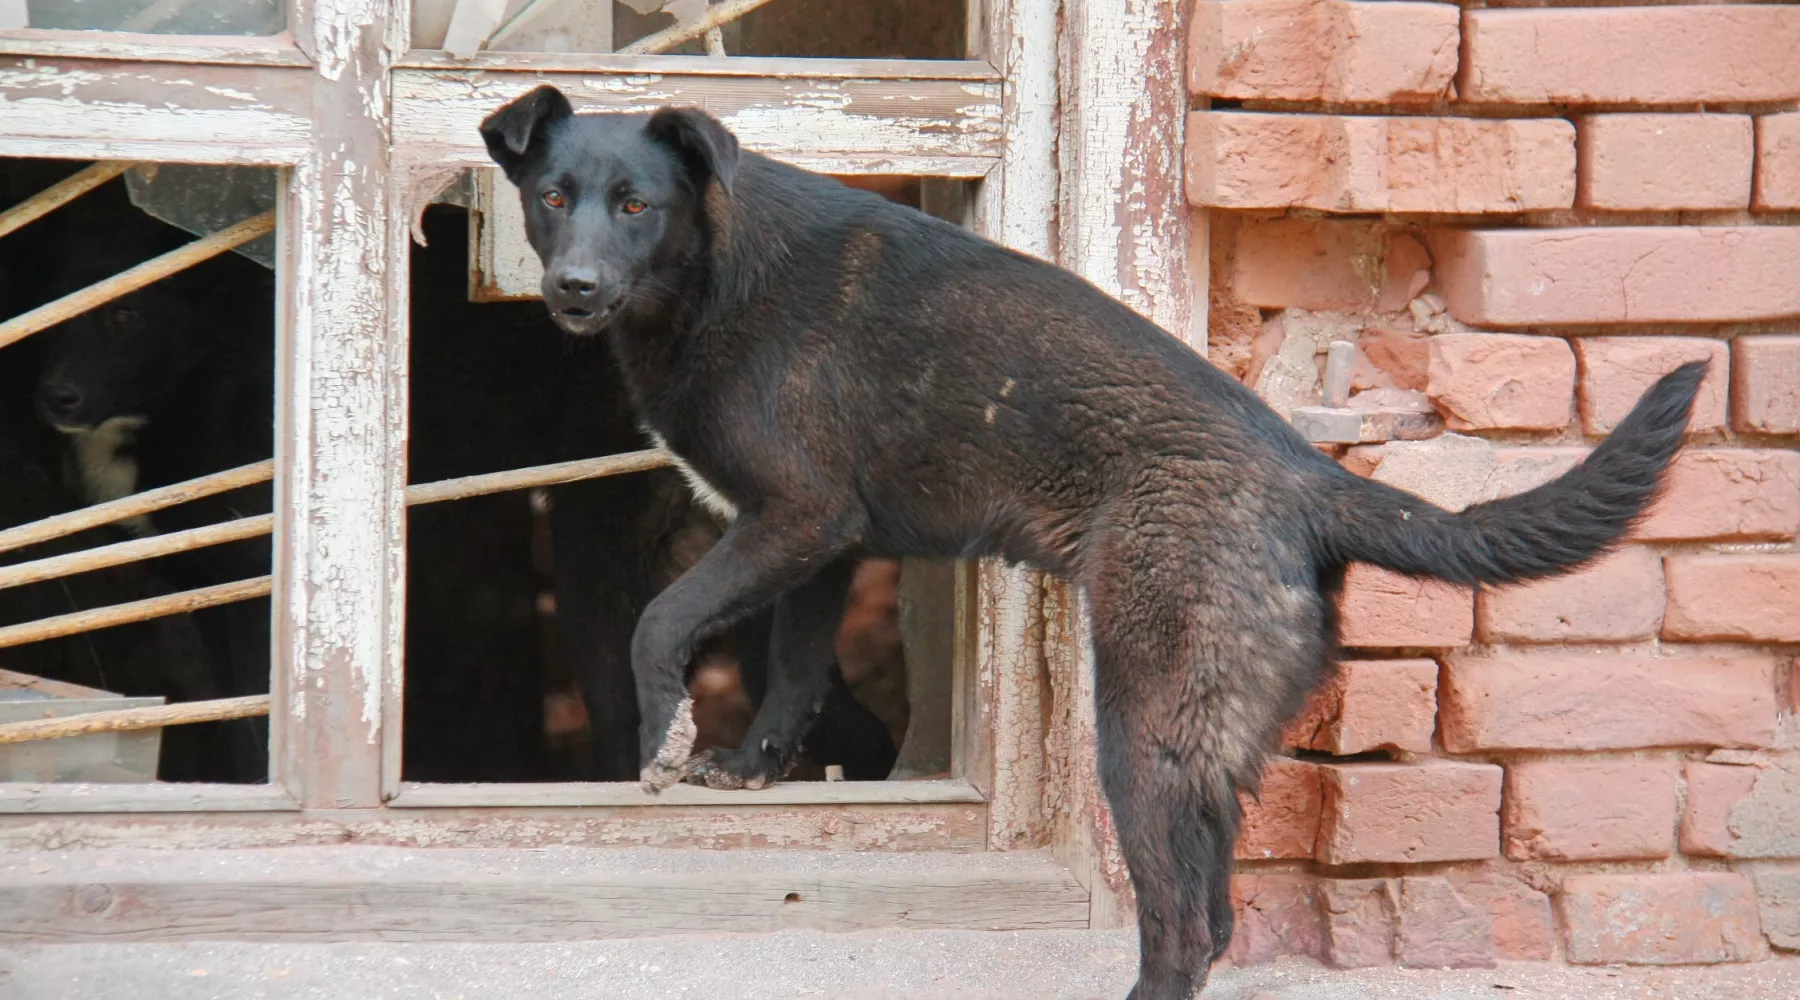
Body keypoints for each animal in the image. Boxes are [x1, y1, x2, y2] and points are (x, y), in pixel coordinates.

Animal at [486, 87, 1706, 1000]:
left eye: (635, 204)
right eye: (553, 197)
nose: (573, 287)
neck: (712, 271)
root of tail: (1310, 478)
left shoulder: (793, 517)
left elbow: (661, 621)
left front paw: (666, 733)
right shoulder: (820, 541)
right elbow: (791, 669)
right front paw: (748, 766)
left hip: (1143, 730)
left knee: (1180, 927)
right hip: (1202, 745)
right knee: (1214, 915)